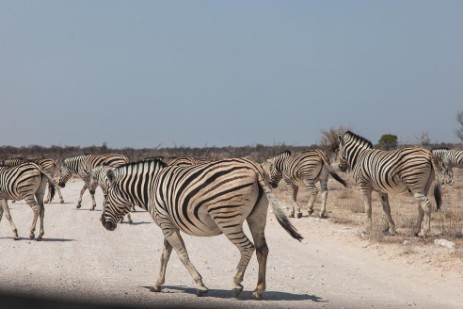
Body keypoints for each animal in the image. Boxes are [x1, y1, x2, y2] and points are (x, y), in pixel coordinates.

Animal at [100, 158, 302, 298]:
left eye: (106, 197)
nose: (103, 224)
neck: (150, 188)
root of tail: (255, 168)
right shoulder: (169, 224)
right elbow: (165, 255)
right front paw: (157, 284)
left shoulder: (166, 224)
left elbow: (181, 254)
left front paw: (200, 286)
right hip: (257, 216)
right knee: (262, 249)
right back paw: (258, 290)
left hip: (227, 219)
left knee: (248, 247)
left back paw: (236, 284)